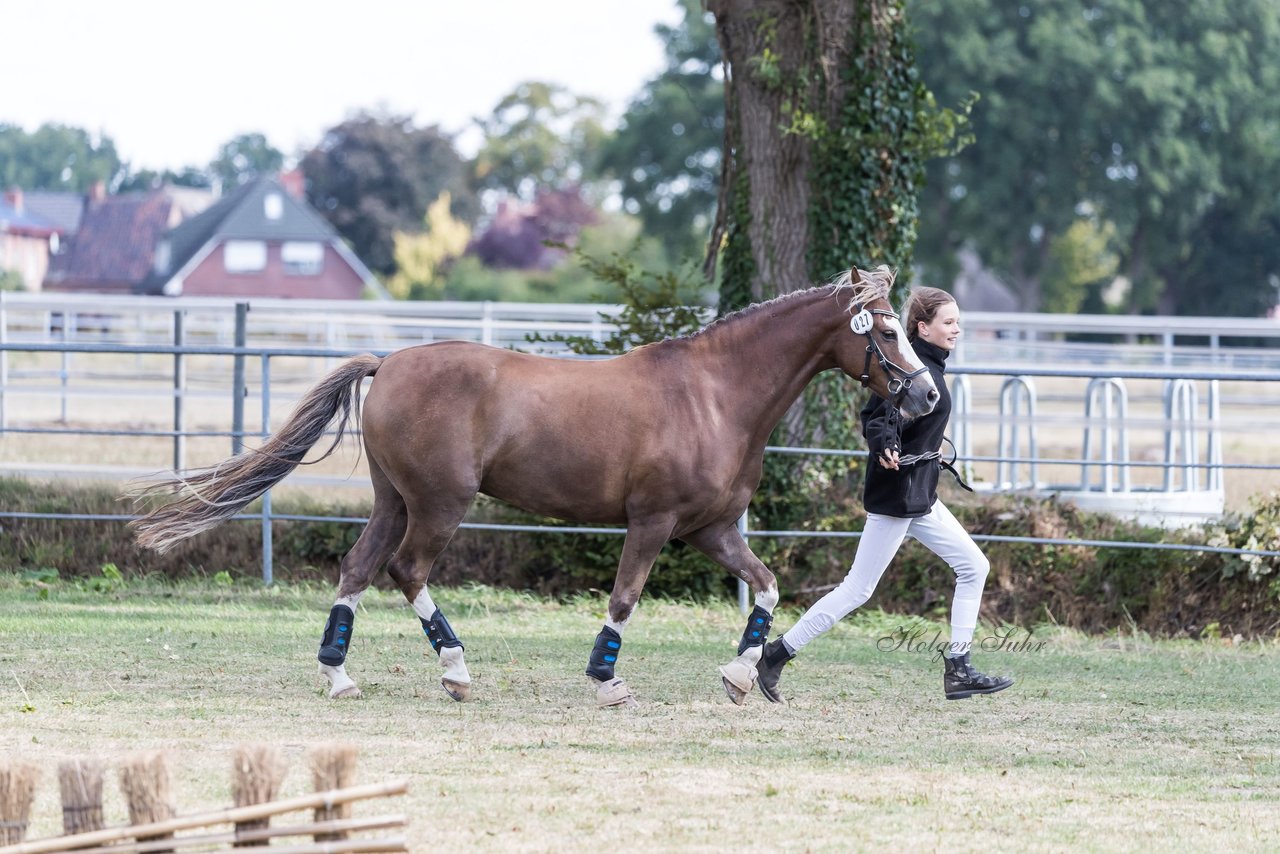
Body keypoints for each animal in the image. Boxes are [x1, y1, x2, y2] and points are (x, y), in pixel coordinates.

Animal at [132, 267, 942, 706]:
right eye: (887, 333)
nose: (929, 395)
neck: (715, 394)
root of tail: (389, 362)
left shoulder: (709, 530)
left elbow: (768, 586)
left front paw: (744, 675)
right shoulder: (654, 523)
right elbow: (625, 598)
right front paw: (607, 681)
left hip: (394, 500)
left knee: (358, 568)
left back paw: (340, 677)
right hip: (439, 505)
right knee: (406, 570)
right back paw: (456, 670)